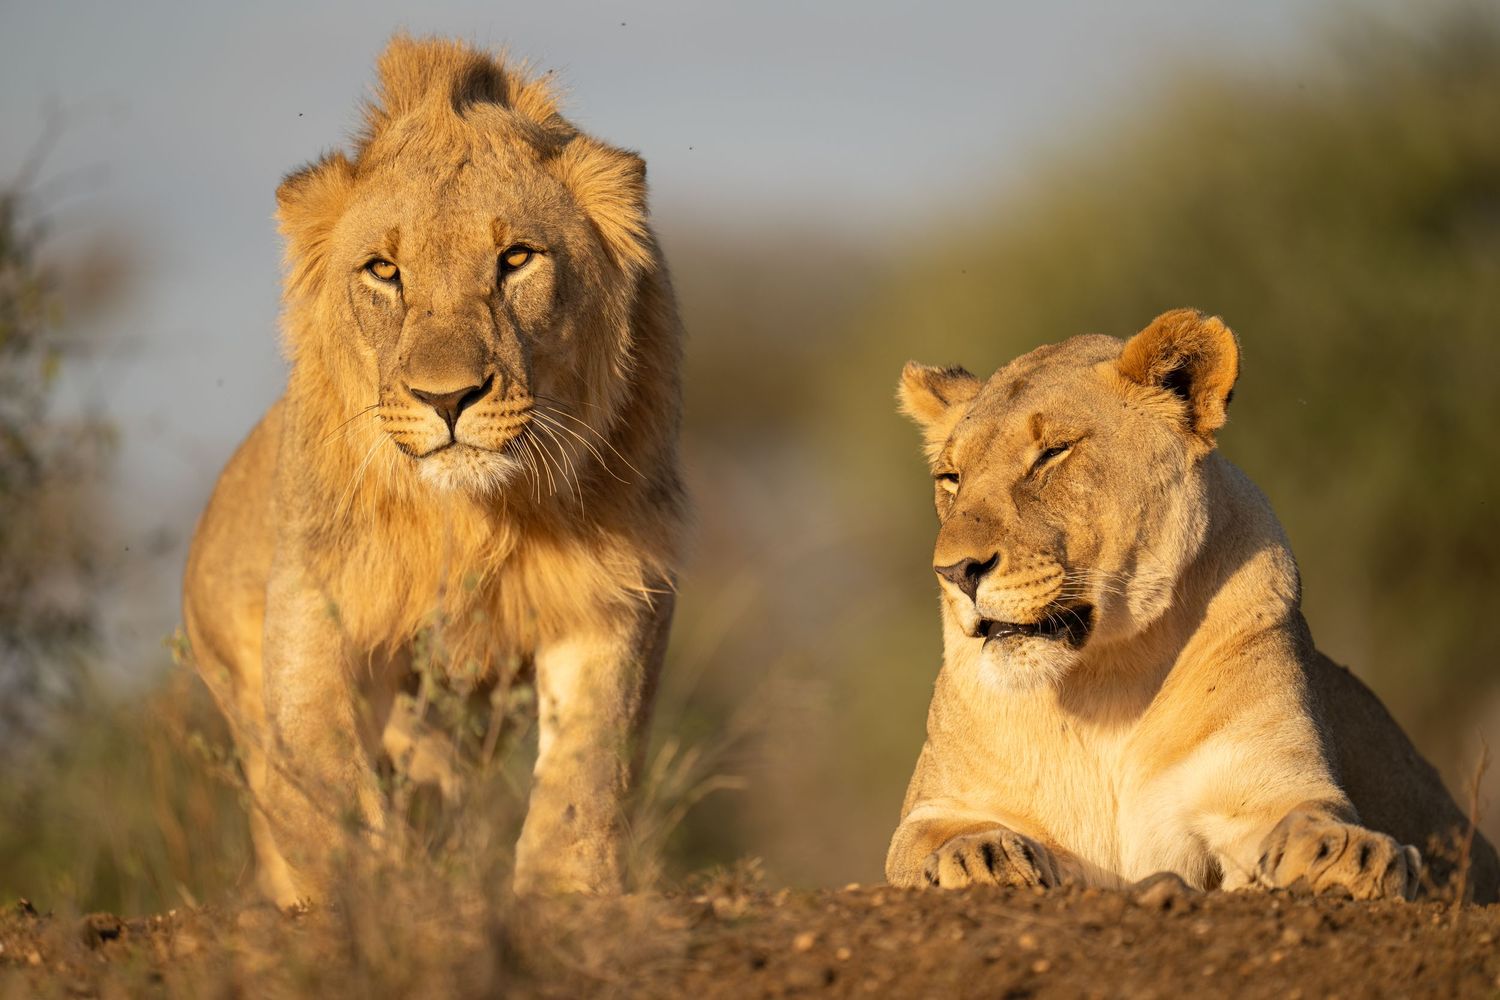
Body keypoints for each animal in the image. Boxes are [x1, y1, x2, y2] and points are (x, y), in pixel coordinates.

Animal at [182, 36, 685, 906]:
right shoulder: (316, 595)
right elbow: (320, 766)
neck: (470, 517)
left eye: (516, 259)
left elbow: (588, 762)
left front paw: (565, 891)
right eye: (384, 271)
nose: (447, 398)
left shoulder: (615, 590)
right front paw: (364, 896)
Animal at [886, 309, 1498, 903]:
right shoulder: (937, 806)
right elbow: (940, 835)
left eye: (1053, 453)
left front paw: (1352, 852)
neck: (1103, 676)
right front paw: (979, 856)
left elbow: (1308, 814)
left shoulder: (1268, 780)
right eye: (951, 477)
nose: (955, 572)